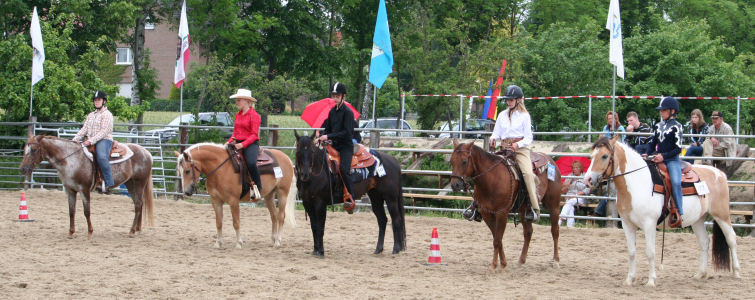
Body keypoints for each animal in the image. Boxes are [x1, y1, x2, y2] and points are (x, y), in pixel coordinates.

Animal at [18, 135, 154, 238]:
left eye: (34, 149)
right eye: (25, 150)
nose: (22, 169)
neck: (71, 160)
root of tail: (146, 152)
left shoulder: (84, 189)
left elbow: (86, 211)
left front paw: (90, 232)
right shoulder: (70, 190)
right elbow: (71, 211)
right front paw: (71, 232)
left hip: (139, 182)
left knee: (138, 204)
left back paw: (132, 231)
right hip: (130, 184)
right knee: (138, 203)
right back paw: (137, 229)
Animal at [448, 141, 560, 272]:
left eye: (464, 161)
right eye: (451, 161)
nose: (455, 185)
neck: (492, 179)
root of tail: (550, 160)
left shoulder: (502, 213)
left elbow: (497, 240)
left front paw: (494, 266)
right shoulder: (487, 214)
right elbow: (497, 238)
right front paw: (503, 263)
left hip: (554, 206)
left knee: (554, 231)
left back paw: (556, 261)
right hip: (523, 210)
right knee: (528, 232)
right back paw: (521, 261)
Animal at [584, 137, 740, 286]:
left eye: (604, 156)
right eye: (591, 156)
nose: (588, 179)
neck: (637, 183)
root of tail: (719, 173)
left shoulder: (649, 224)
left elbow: (650, 252)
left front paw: (651, 281)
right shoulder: (627, 224)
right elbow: (632, 252)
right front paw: (629, 280)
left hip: (721, 215)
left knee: (731, 238)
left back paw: (737, 272)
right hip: (698, 219)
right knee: (704, 242)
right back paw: (700, 274)